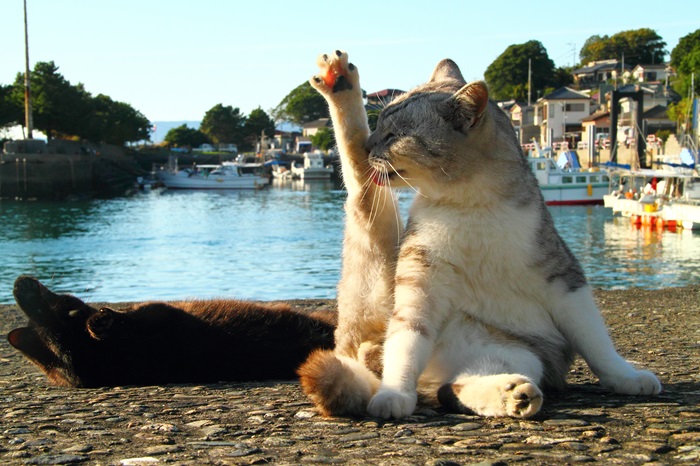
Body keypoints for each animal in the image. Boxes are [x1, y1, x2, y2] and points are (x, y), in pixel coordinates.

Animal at [296, 51, 660, 418]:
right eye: (380, 126)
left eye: (393, 134)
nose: (369, 145)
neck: (468, 205)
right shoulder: (419, 283)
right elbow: (405, 342)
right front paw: (394, 394)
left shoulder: (564, 279)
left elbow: (597, 343)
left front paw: (626, 377)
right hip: (382, 248)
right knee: (360, 185)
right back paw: (338, 82)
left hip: (518, 353)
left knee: (452, 389)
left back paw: (514, 394)